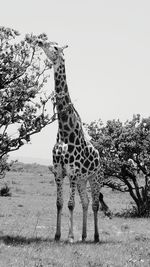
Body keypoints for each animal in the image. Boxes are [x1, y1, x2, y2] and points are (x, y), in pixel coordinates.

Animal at [37, 39, 105, 243]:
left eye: (55, 47)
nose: (39, 40)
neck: (64, 132)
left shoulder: (73, 172)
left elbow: (70, 204)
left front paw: (70, 237)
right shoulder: (59, 172)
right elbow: (59, 203)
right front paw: (58, 235)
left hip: (95, 177)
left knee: (95, 204)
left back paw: (95, 236)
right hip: (83, 180)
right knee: (86, 202)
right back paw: (83, 236)